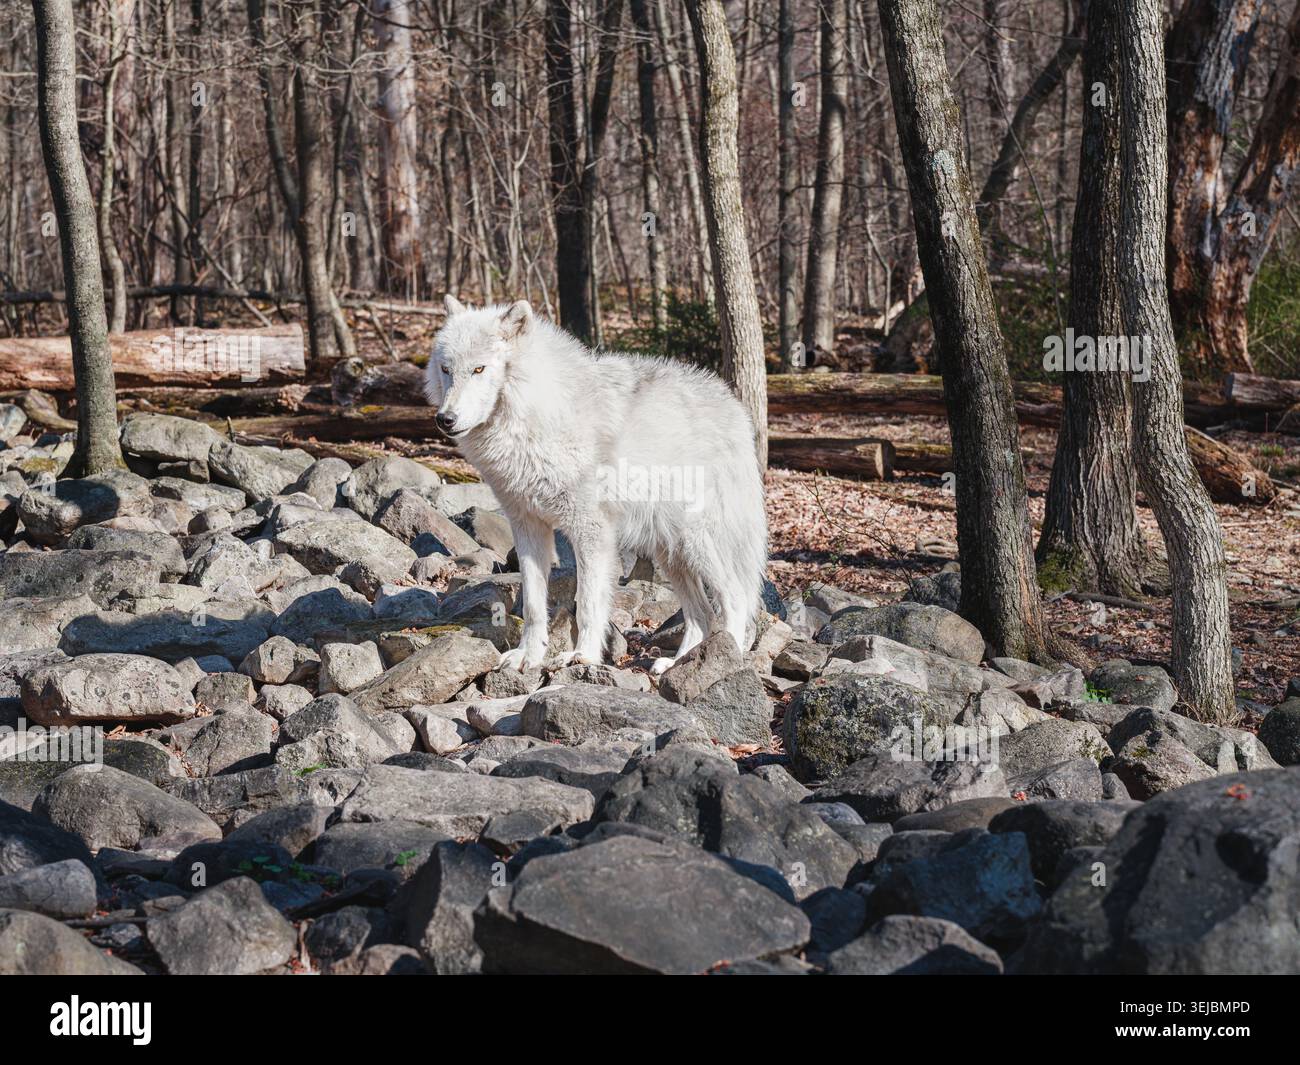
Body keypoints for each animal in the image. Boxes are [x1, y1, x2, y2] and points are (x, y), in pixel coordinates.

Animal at [425, 295, 768, 673]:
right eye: (446, 369)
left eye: (479, 370)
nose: (445, 419)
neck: (535, 415)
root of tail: (733, 407)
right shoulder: (528, 527)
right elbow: (532, 605)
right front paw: (528, 656)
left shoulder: (590, 529)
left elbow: (588, 602)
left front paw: (583, 655)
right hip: (671, 553)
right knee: (702, 614)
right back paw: (679, 664)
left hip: (698, 542)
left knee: (735, 599)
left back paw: (726, 659)